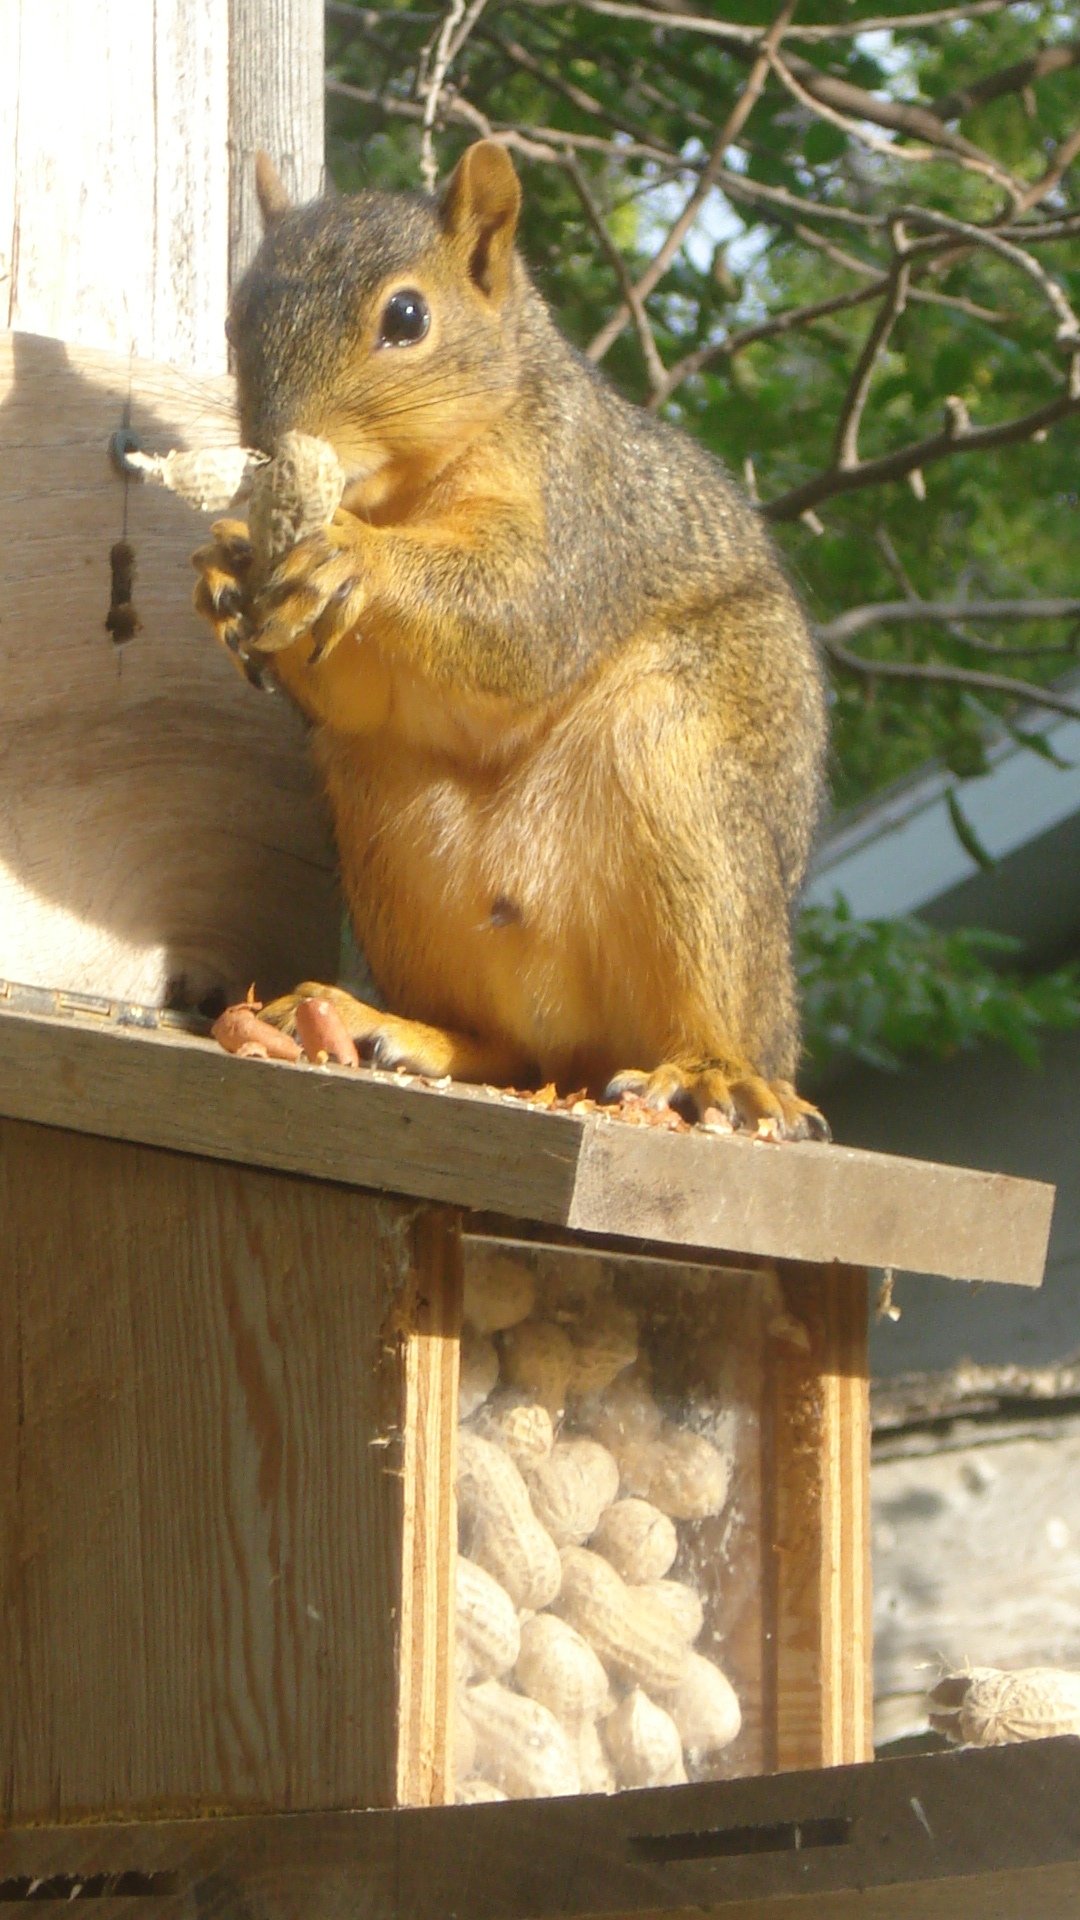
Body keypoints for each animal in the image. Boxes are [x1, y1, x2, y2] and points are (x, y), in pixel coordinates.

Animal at [193, 141, 829, 1139]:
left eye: (406, 317)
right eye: (233, 317)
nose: (272, 449)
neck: (405, 491)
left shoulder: (581, 517)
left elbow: (523, 614)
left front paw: (351, 554)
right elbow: (355, 692)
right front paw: (225, 567)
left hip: (692, 795)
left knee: (713, 994)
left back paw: (718, 1075)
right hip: (391, 842)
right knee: (506, 1046)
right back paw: (389, 1025)